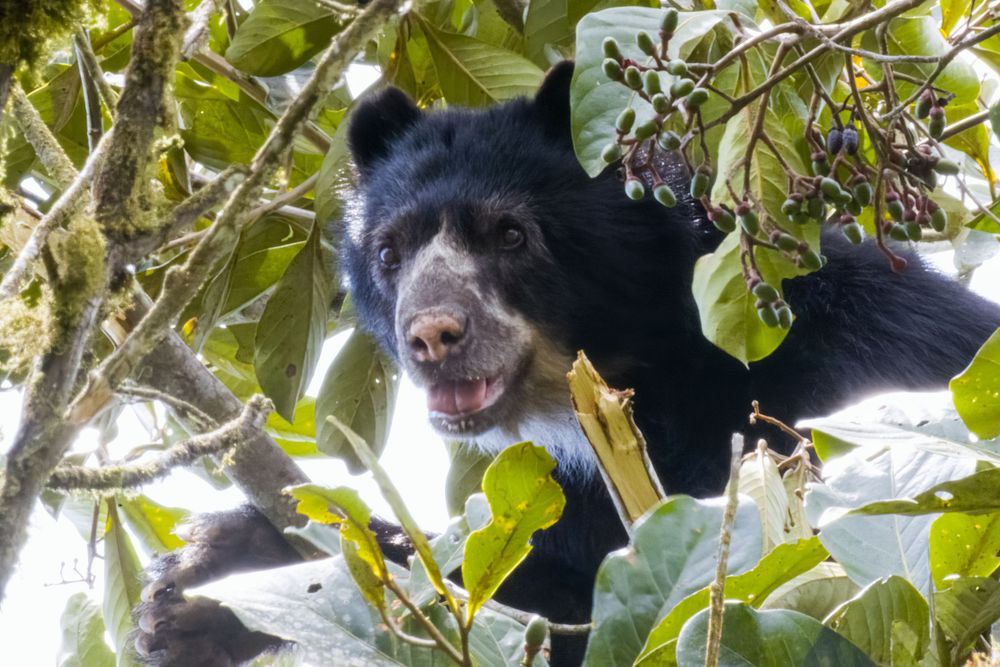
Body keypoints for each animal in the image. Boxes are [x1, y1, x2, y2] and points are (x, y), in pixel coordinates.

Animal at [133, 62, 1000, 667]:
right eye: (390, 251)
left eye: (511, 234)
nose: (431, 335)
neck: (654, 365)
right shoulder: (584, 484)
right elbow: (548, 582)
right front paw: (198, 584)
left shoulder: (844, 396)